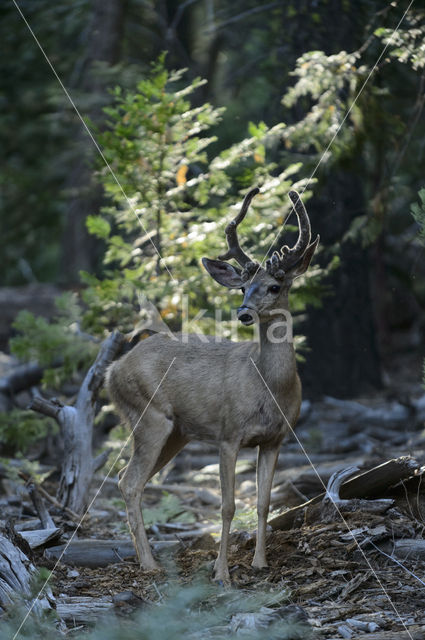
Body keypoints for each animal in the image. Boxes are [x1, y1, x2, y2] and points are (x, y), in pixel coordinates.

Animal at [106, 188, 318, 584]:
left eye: (274, 286)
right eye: (243, 287)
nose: (244, 312)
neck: (269, 387)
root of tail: (112, 369)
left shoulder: (276, 438)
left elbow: (263, 503)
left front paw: (260, 563)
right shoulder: (229, 433)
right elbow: (228, 506)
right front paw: (222, 573)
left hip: (176, 434)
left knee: (131, 480)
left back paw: (146, 559)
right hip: (148, 416)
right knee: (129, 482)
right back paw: (150, 564)